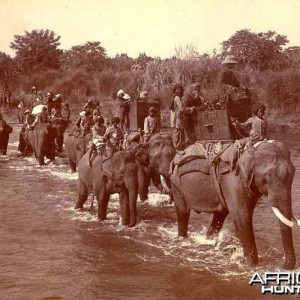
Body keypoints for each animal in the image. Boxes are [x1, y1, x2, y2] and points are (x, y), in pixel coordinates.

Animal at [170, 141, 296, 270]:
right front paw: (252, 265)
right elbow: (242, 216)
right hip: (176, 184)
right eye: (269, 175)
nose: (284, 266)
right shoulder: (232, 181)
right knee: (183, 212)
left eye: (294, 172)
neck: (250, 149)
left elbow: (242, 216)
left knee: (219, 215)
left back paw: (209, 241)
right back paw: (183, 238)